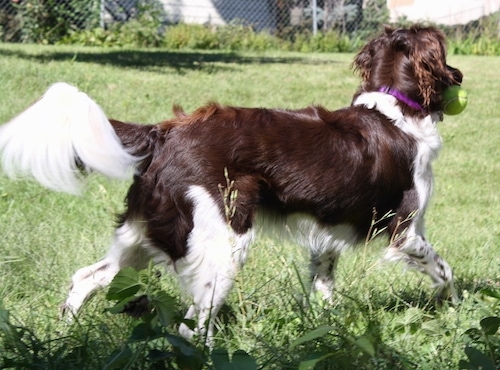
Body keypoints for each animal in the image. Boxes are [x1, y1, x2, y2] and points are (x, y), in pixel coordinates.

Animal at [0, 25, 460, 342]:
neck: (393, 109)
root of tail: (163, 133)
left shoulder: (326, 237)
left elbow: (324, 287)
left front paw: (330, 332)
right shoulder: (405, 232)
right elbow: (444, 270)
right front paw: (453, 307)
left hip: (143, 236)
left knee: (86, 277)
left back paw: (66, 335)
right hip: (221, 243)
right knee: (189, 328)